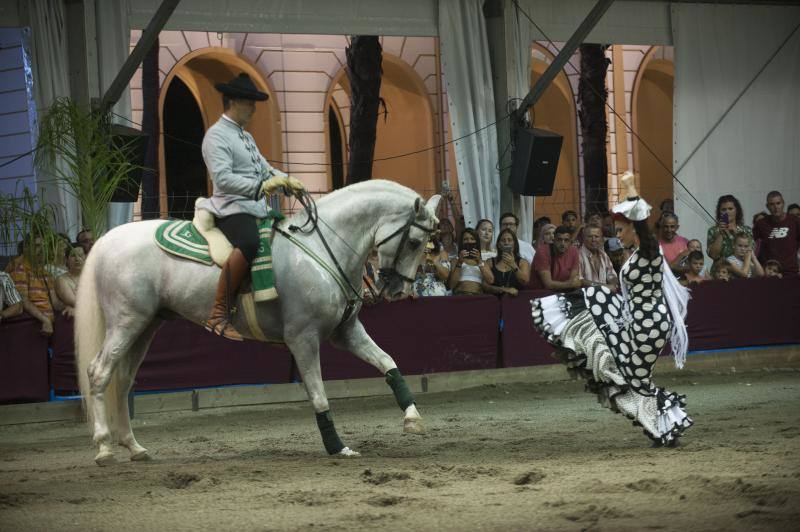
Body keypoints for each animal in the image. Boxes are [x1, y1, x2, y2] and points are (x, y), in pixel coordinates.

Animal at [75, 181, 440, 464]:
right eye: (413, 242)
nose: (399, 290)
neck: (320, 248)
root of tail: (108, 240)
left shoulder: (346, 332)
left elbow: (388, 362)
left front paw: (413, 418)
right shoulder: (303, 339)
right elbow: (319, 394)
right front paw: (337, 446)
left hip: (146, 327)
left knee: (123, 381)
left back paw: (134, 447)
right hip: (126, 323)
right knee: (100, 373)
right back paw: (104, 448)